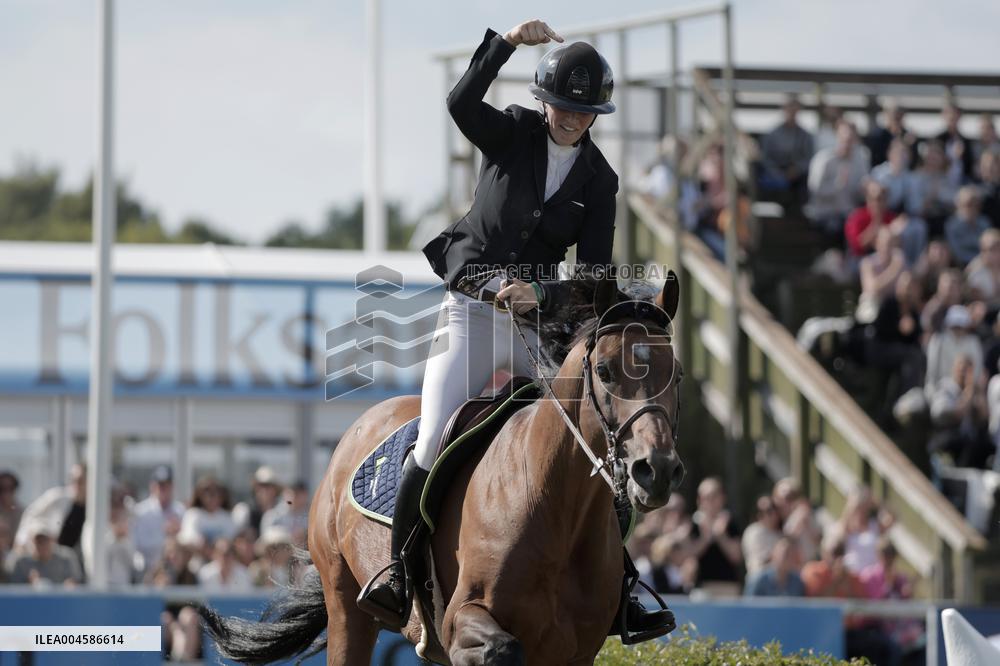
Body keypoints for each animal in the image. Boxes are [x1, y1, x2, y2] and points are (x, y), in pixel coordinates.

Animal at [201, 274, 685, 665]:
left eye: (677, 375)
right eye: (604, 370)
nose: (656, 471)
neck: (557, 506)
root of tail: (359, 427)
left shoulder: (577, 651)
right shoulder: (460, 622)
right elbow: (501, 647)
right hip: (346, 606)